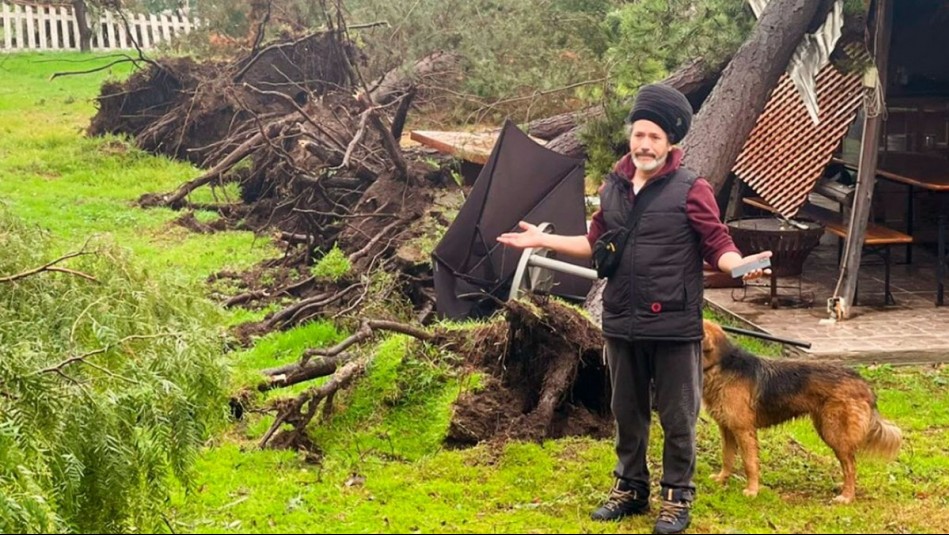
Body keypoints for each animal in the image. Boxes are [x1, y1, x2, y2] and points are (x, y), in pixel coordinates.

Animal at [700, 322, 900, 502]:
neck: (721, 366)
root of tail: (863, 383)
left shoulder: (743, 430)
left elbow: (750, 463)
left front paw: (752, 491)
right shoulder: (727, 428)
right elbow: (727, 457)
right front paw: (722, 479)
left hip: (835, 433)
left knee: (850, 465)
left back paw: (847, 496)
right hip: (825, 427)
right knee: (849, 464)